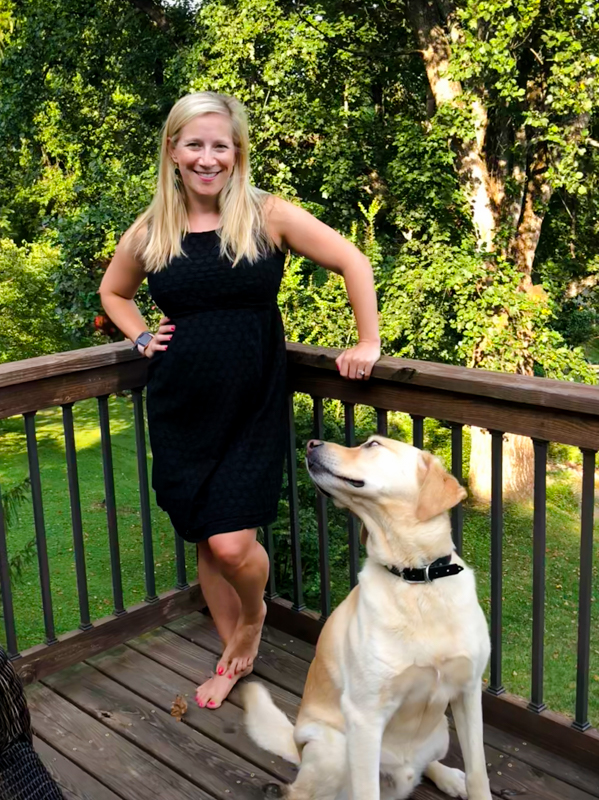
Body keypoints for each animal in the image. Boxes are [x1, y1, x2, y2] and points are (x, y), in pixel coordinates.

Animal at [243, 435, 492, 800]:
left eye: (372, 444)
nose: (311, 442)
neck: (417, 579)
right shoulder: (365, 716)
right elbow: (366, 790)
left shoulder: (468, 692)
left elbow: (478, 774)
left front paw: (467, 782)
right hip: (334, 748)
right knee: (300, 791)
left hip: (441, 733)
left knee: (427, 765)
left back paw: (448, 776)